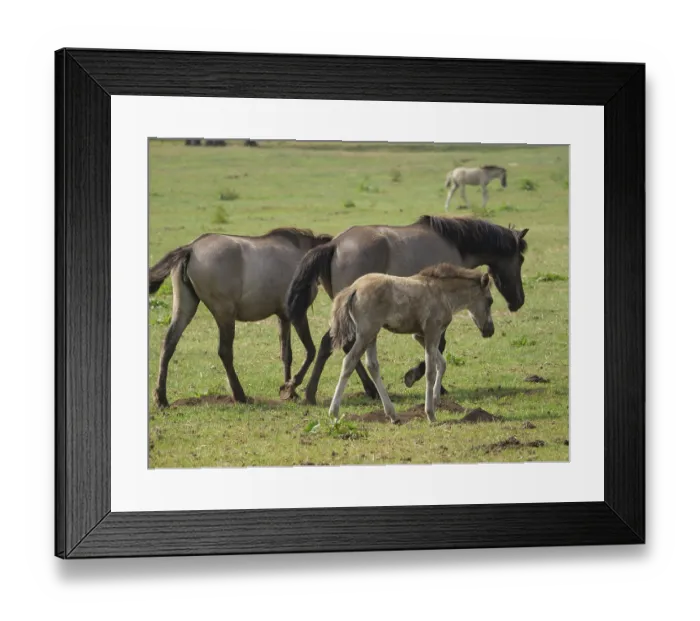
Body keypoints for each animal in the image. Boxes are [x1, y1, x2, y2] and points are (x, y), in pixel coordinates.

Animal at [148, 227, 332, 407]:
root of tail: (191, 248)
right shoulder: (298, 314)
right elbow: (310, 350)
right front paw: (291, 386)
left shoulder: (284, 316)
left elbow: (286, 354)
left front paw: (290, 391)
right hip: (225, 315)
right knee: (225, 352)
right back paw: (239, 395)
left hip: (185, 308)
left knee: (168, 344)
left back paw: (161, 398)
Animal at [285, 214, 528, 405]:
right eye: (521, 259)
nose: (519, 300)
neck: (455, 245)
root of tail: (334, 245)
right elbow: (439, 345)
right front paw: (417, 378)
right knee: (331, 344)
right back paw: (311, 393)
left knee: (344, 346)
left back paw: (367, 389)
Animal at [328, 263, 495, 424]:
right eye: (490, 301)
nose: (490, 330)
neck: (442, 293)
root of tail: (354, 287)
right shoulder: (432, 332)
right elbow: (430, 372)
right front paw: (430, 414)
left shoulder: (420, 335)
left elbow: (442, 363)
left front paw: (436, 399)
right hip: (366, 333)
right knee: (349, 361)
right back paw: (334, 412)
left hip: (371, 335)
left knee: (372, 365)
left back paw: (393, 415)